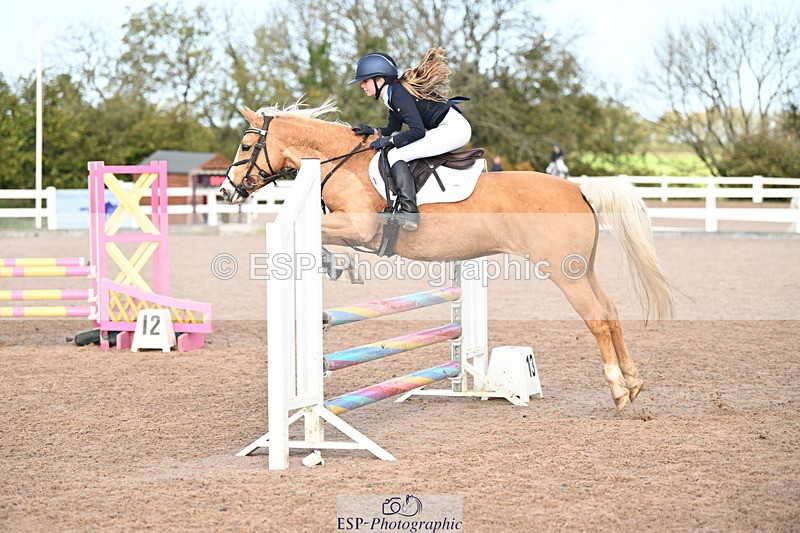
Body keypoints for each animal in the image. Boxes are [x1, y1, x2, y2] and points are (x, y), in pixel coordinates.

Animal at [219, 99, 675, 411]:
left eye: (245, 145)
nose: (226, 192)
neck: (342, 164)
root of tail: (578, 188)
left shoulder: (360, 229)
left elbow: (319, 237)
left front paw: (335, 265)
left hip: (565, 273)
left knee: (596, 317)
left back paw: (618, 390)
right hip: (584, 268)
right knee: (611, 312)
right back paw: (633, 382)